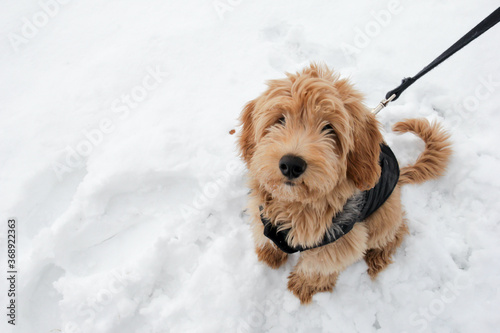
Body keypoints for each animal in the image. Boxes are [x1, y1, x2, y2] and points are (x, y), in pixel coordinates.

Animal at [238, 63, 454, 304]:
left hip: (382, 216)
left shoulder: (341, 239)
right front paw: (270, 253)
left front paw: (304, 285)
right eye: (280, 120)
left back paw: (378, 256)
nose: (291, 164)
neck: (297, 205)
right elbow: (266, 236)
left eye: (329, 128)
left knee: (397, 230)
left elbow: (318, 265)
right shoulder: (264, 216)